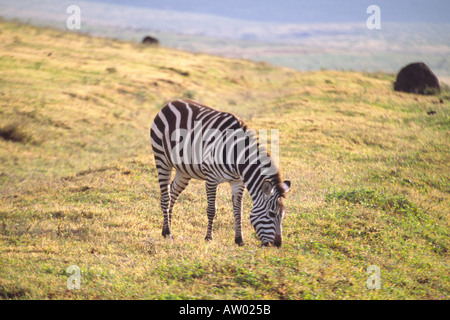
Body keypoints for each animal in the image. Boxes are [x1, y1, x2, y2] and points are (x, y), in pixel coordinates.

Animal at [150, 100, 292, 248]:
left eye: (282, 215)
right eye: (271, 214)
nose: (278, 244)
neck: (237, 156)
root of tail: (171, 103)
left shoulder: (238, 182)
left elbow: (238, 211)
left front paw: (239, 240)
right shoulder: (211, 178)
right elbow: (212, 210)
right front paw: (208, 237)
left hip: (184, 170)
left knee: (172, 192)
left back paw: (167, 228)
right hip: (162, 159)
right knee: (165, 197)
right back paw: (167, 232)